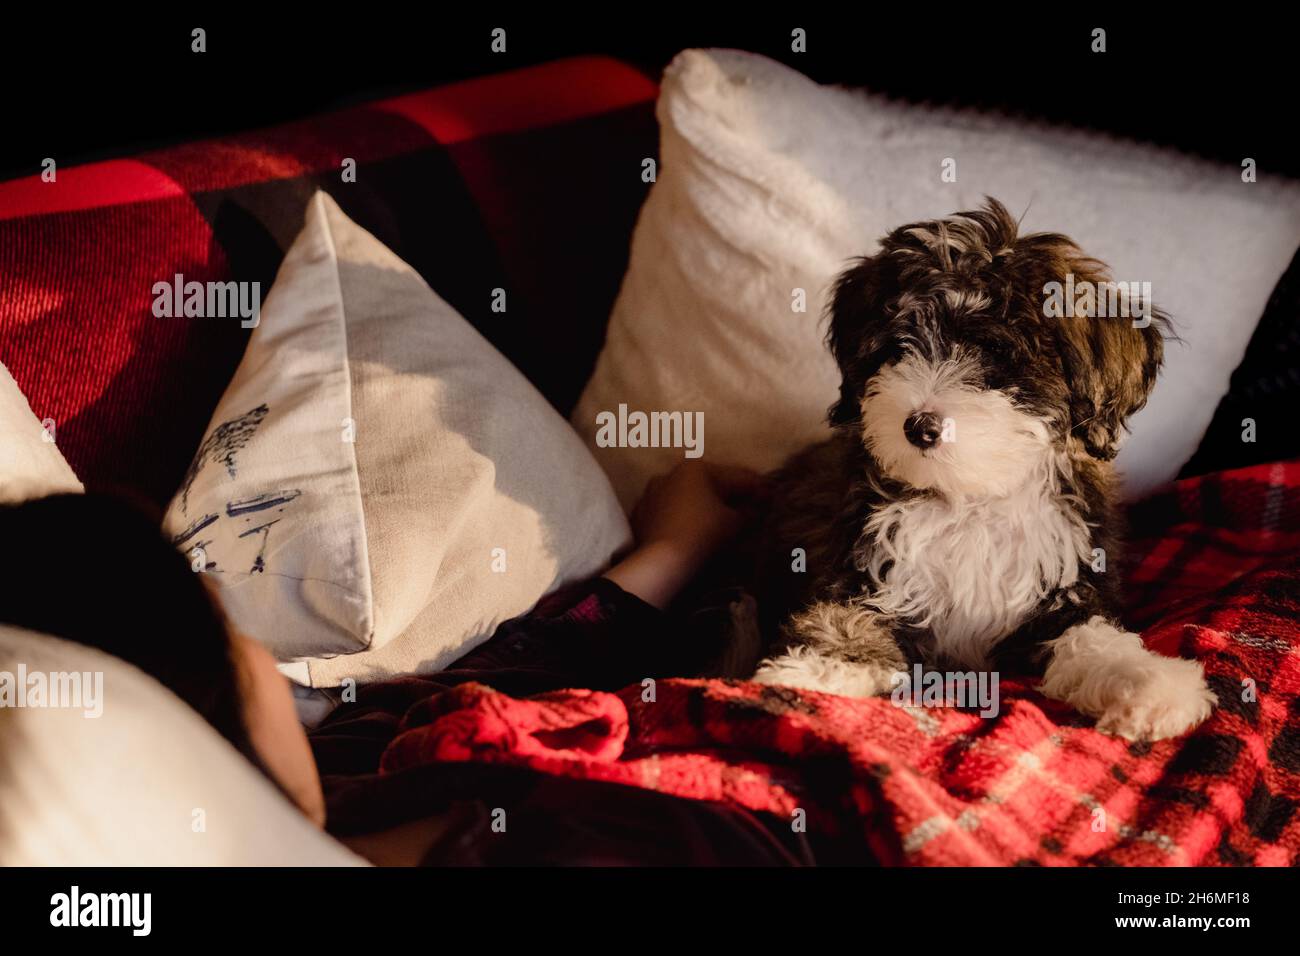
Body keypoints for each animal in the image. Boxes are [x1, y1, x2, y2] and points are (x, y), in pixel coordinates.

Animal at [754, 197, 1216, 743]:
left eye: (997, 354)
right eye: (897, 349)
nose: (920, 427)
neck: (969, 498)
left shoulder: (1063, 589)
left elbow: (1090, 635)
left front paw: (1147, 680)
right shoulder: (863, 572)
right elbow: (845, 622)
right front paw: (812, 671)